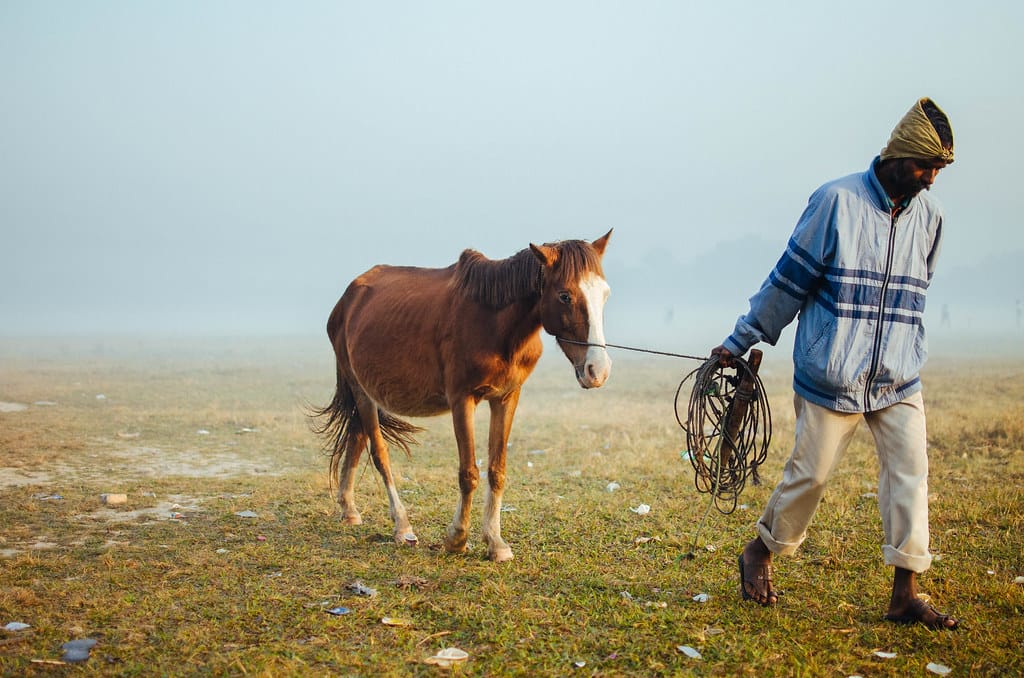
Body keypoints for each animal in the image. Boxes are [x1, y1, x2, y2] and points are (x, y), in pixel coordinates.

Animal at [312, 230, 613, 562]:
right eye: (565, 296)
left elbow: (497, 469)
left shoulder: (506, 398)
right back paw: (401, 526)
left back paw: (349, 509)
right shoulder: (461, 400)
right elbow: (468, 473)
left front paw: (495, 542)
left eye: (605, 294)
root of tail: (348, 298)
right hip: (361, 391)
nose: (598, 370)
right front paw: (457, 538)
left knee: (356, 438)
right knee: (379, 453)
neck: (495, 325)